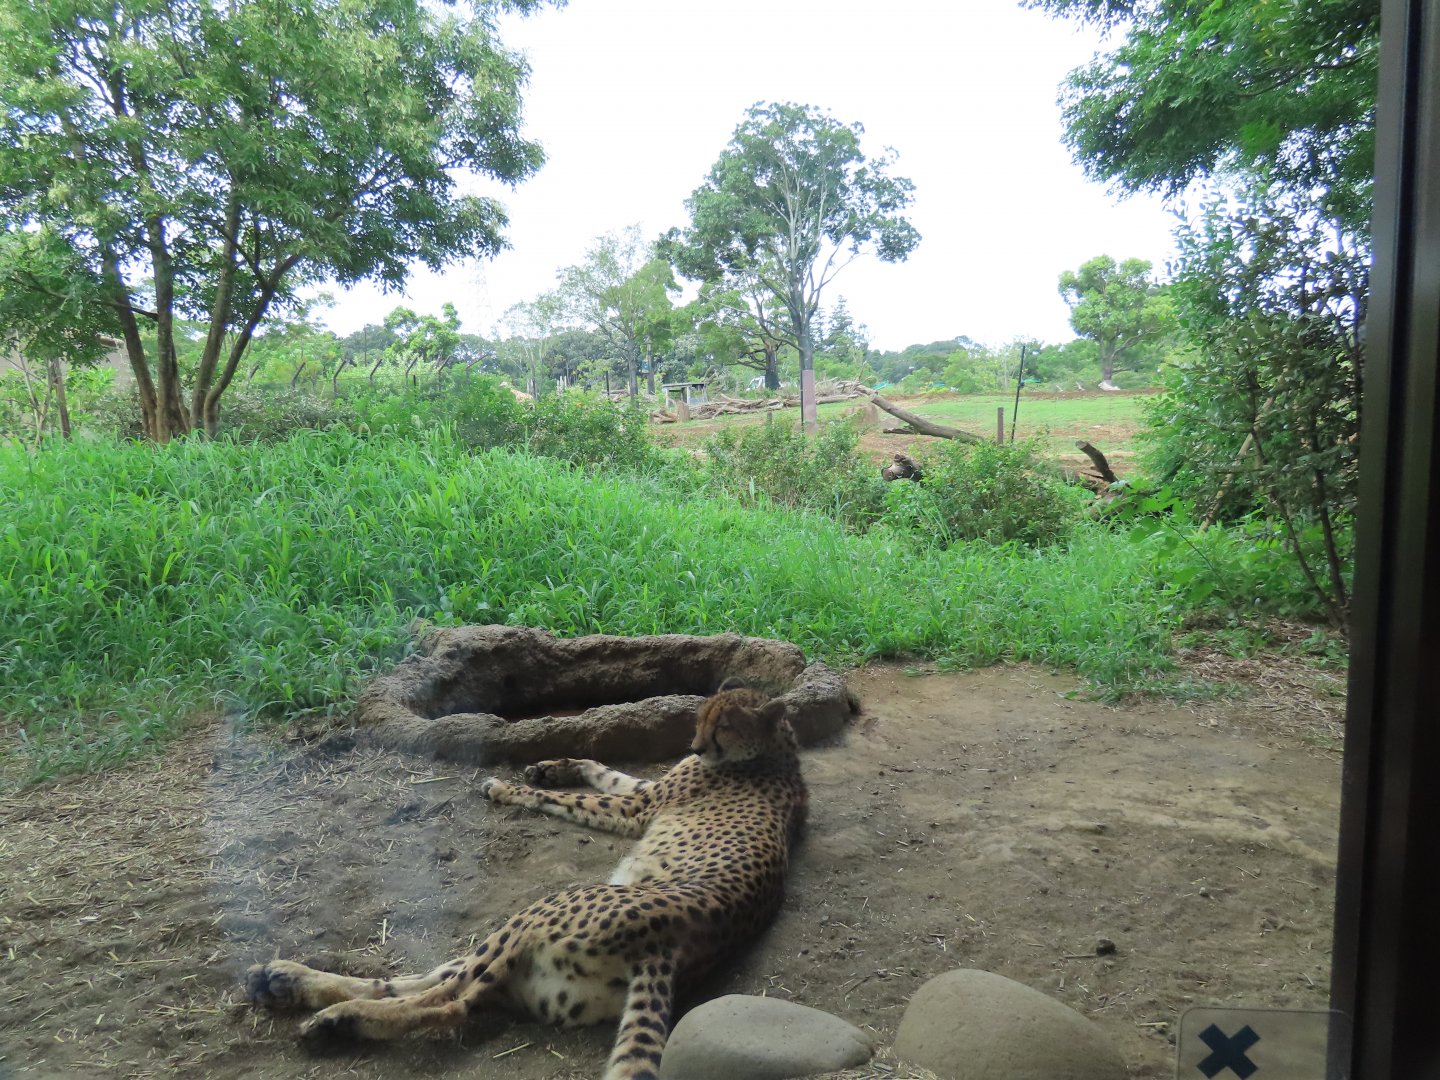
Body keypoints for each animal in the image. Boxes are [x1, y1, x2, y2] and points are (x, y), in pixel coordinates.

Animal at [244, 679, 808, 1080]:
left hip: (535, 916)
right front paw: (556, 764)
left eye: (724, 725)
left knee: (448, 1002)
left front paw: (509, 788)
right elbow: (604, 771)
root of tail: (670, 947)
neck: (777, 746)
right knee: (429, 981)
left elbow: (570, 798)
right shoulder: (640, 795)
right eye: (701, 717)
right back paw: (283, 980)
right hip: (528, 953)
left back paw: (337, 1018)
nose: (695, 745)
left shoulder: (638, 808)